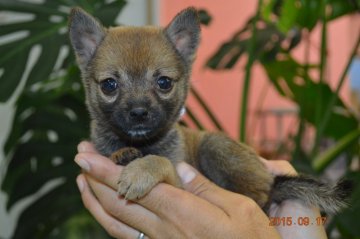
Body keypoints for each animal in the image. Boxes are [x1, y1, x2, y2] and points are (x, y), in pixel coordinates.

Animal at [69, 7, 350, 213]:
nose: (139, 112)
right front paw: (124, 155)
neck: (141, 144)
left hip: (214, 144)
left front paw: (140, 172)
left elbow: (161, 161)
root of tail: (271, 181)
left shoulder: (179, 182)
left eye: (164, 83)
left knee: (258, 197)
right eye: (109, 85)